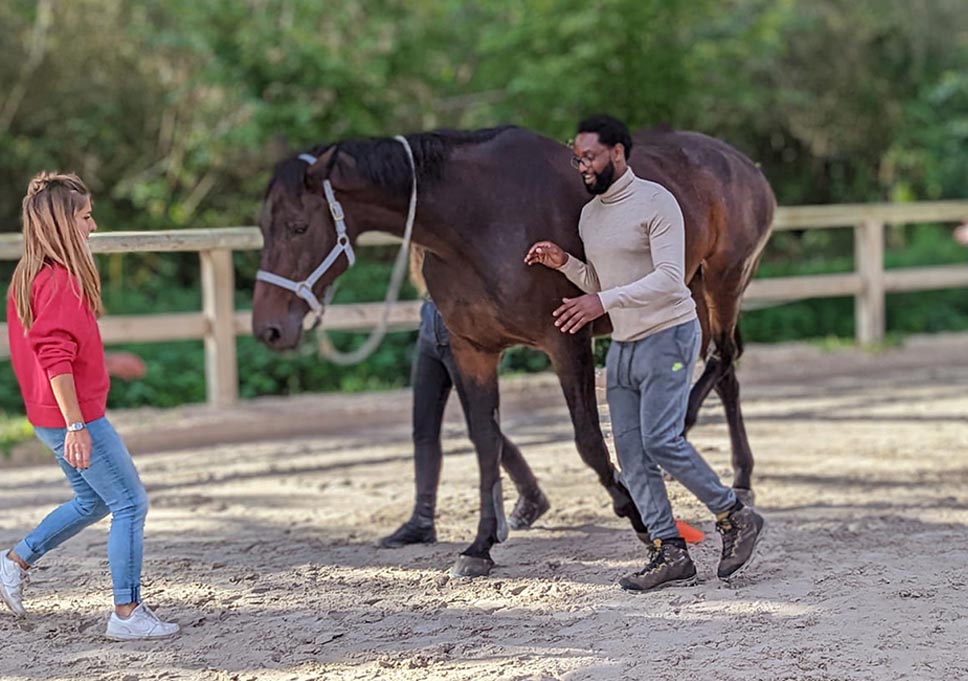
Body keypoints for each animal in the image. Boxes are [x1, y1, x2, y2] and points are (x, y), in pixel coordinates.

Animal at [253, 126, 776, 572]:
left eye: (298, 227)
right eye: (263, 227)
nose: (268, 329)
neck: (475, 220)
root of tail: (743, 164)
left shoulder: (566, 341)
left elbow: (588, 441)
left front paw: (636, 516)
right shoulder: (473, 351)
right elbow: (486, 441)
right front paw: (480, 546)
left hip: (723, 281)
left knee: (721, 358)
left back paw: (686, 436)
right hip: (694, 289)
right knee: (725, 368)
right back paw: (741, 474)